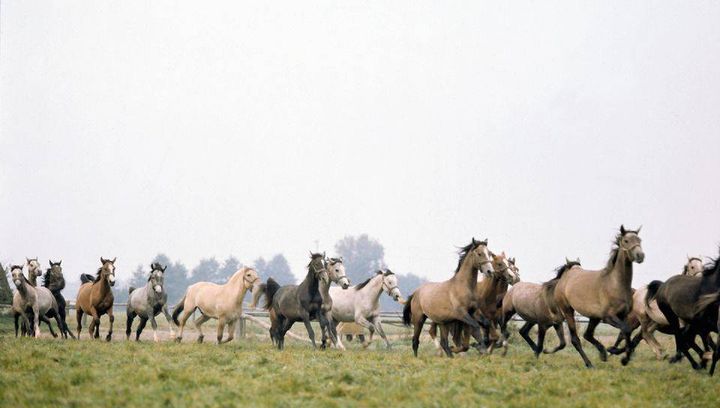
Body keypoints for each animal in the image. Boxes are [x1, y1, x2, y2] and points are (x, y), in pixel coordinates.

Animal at [552, 225, 648, 368]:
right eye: (626, 240)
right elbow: (626, 330)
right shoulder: (608, 317)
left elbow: (626, 332)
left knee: (588, 335)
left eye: (639, 240)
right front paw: (622, 356)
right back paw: (589, 363)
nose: (640, 255)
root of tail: (566, 274)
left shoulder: (624, 316)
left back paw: (602, 353)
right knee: (576, 339)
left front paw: (619, 354)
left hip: (594, 317)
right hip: (568, 310)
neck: (615, 284)